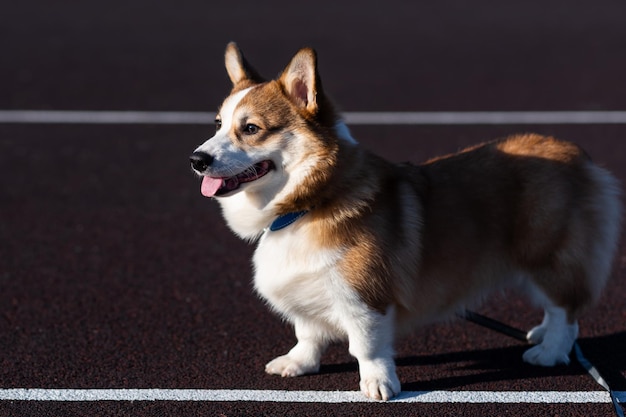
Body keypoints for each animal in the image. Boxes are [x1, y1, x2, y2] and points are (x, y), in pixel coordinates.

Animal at [189, 42, 620, 400]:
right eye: (217, 124)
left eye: (251, 129)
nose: (196, 160)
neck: (308, 204)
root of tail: (577, 155)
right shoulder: (310, 296)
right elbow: (307, 333)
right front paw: (298, 364)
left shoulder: (366, 299)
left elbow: (367, 347)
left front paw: (379, 385)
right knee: (559, 310)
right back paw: (541, 335)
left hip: (546, 257)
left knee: (566, 311)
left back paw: (549, 352)